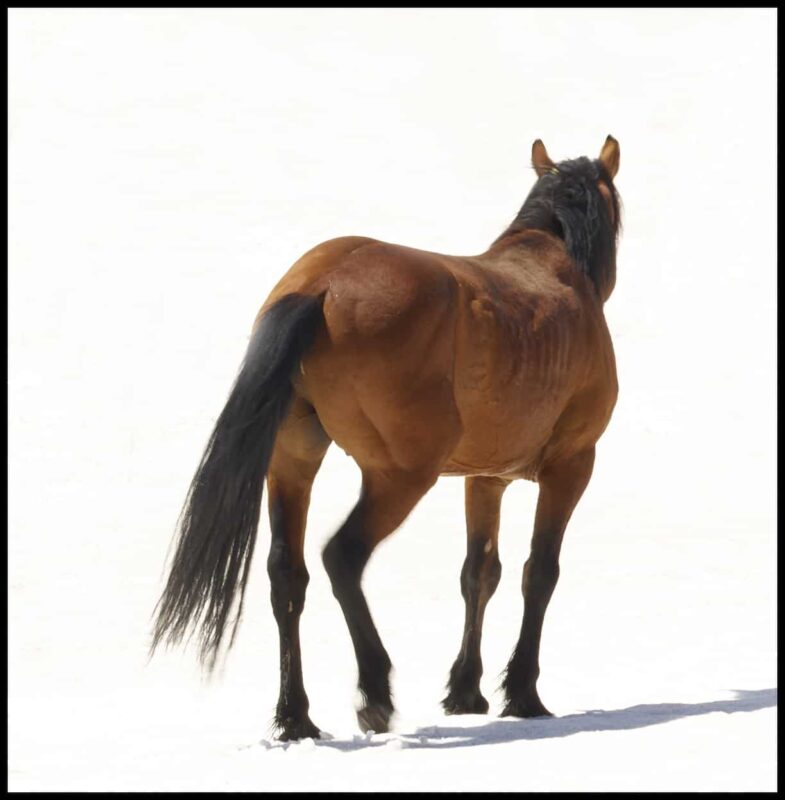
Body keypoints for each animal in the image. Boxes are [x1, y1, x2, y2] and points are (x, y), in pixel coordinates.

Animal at [151, 136, 623, 741]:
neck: (553, 263)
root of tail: (321, 283)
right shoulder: (571, 465)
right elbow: (539, 573)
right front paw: (522, 692)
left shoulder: (484, 478)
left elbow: (480, 573)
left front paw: (465, 691)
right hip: (400, 476)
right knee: (342, 557)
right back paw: (374, 691)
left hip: (292, 461)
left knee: (287, 574)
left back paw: (296, 717)